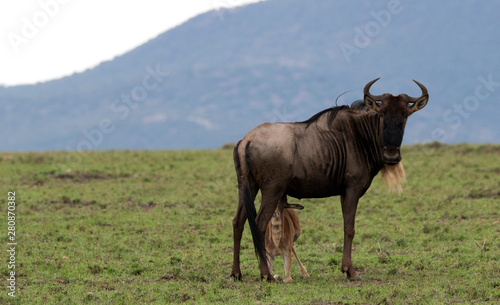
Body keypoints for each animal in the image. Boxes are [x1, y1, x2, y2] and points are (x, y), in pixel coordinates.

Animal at [231, 78, 430, 280]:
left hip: (246, 186)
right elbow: (350, 228)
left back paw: (236, 273)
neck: (362, 136)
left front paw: (346, 268)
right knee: (259, 223)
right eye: (382, 114)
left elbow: (345, 226)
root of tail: (247, 139)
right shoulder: (353, 188)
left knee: (238, 221)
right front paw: (350, 271)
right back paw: (267, 275)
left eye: (405, 115)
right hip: (272, 190)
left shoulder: (343, 192)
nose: (391, 154)